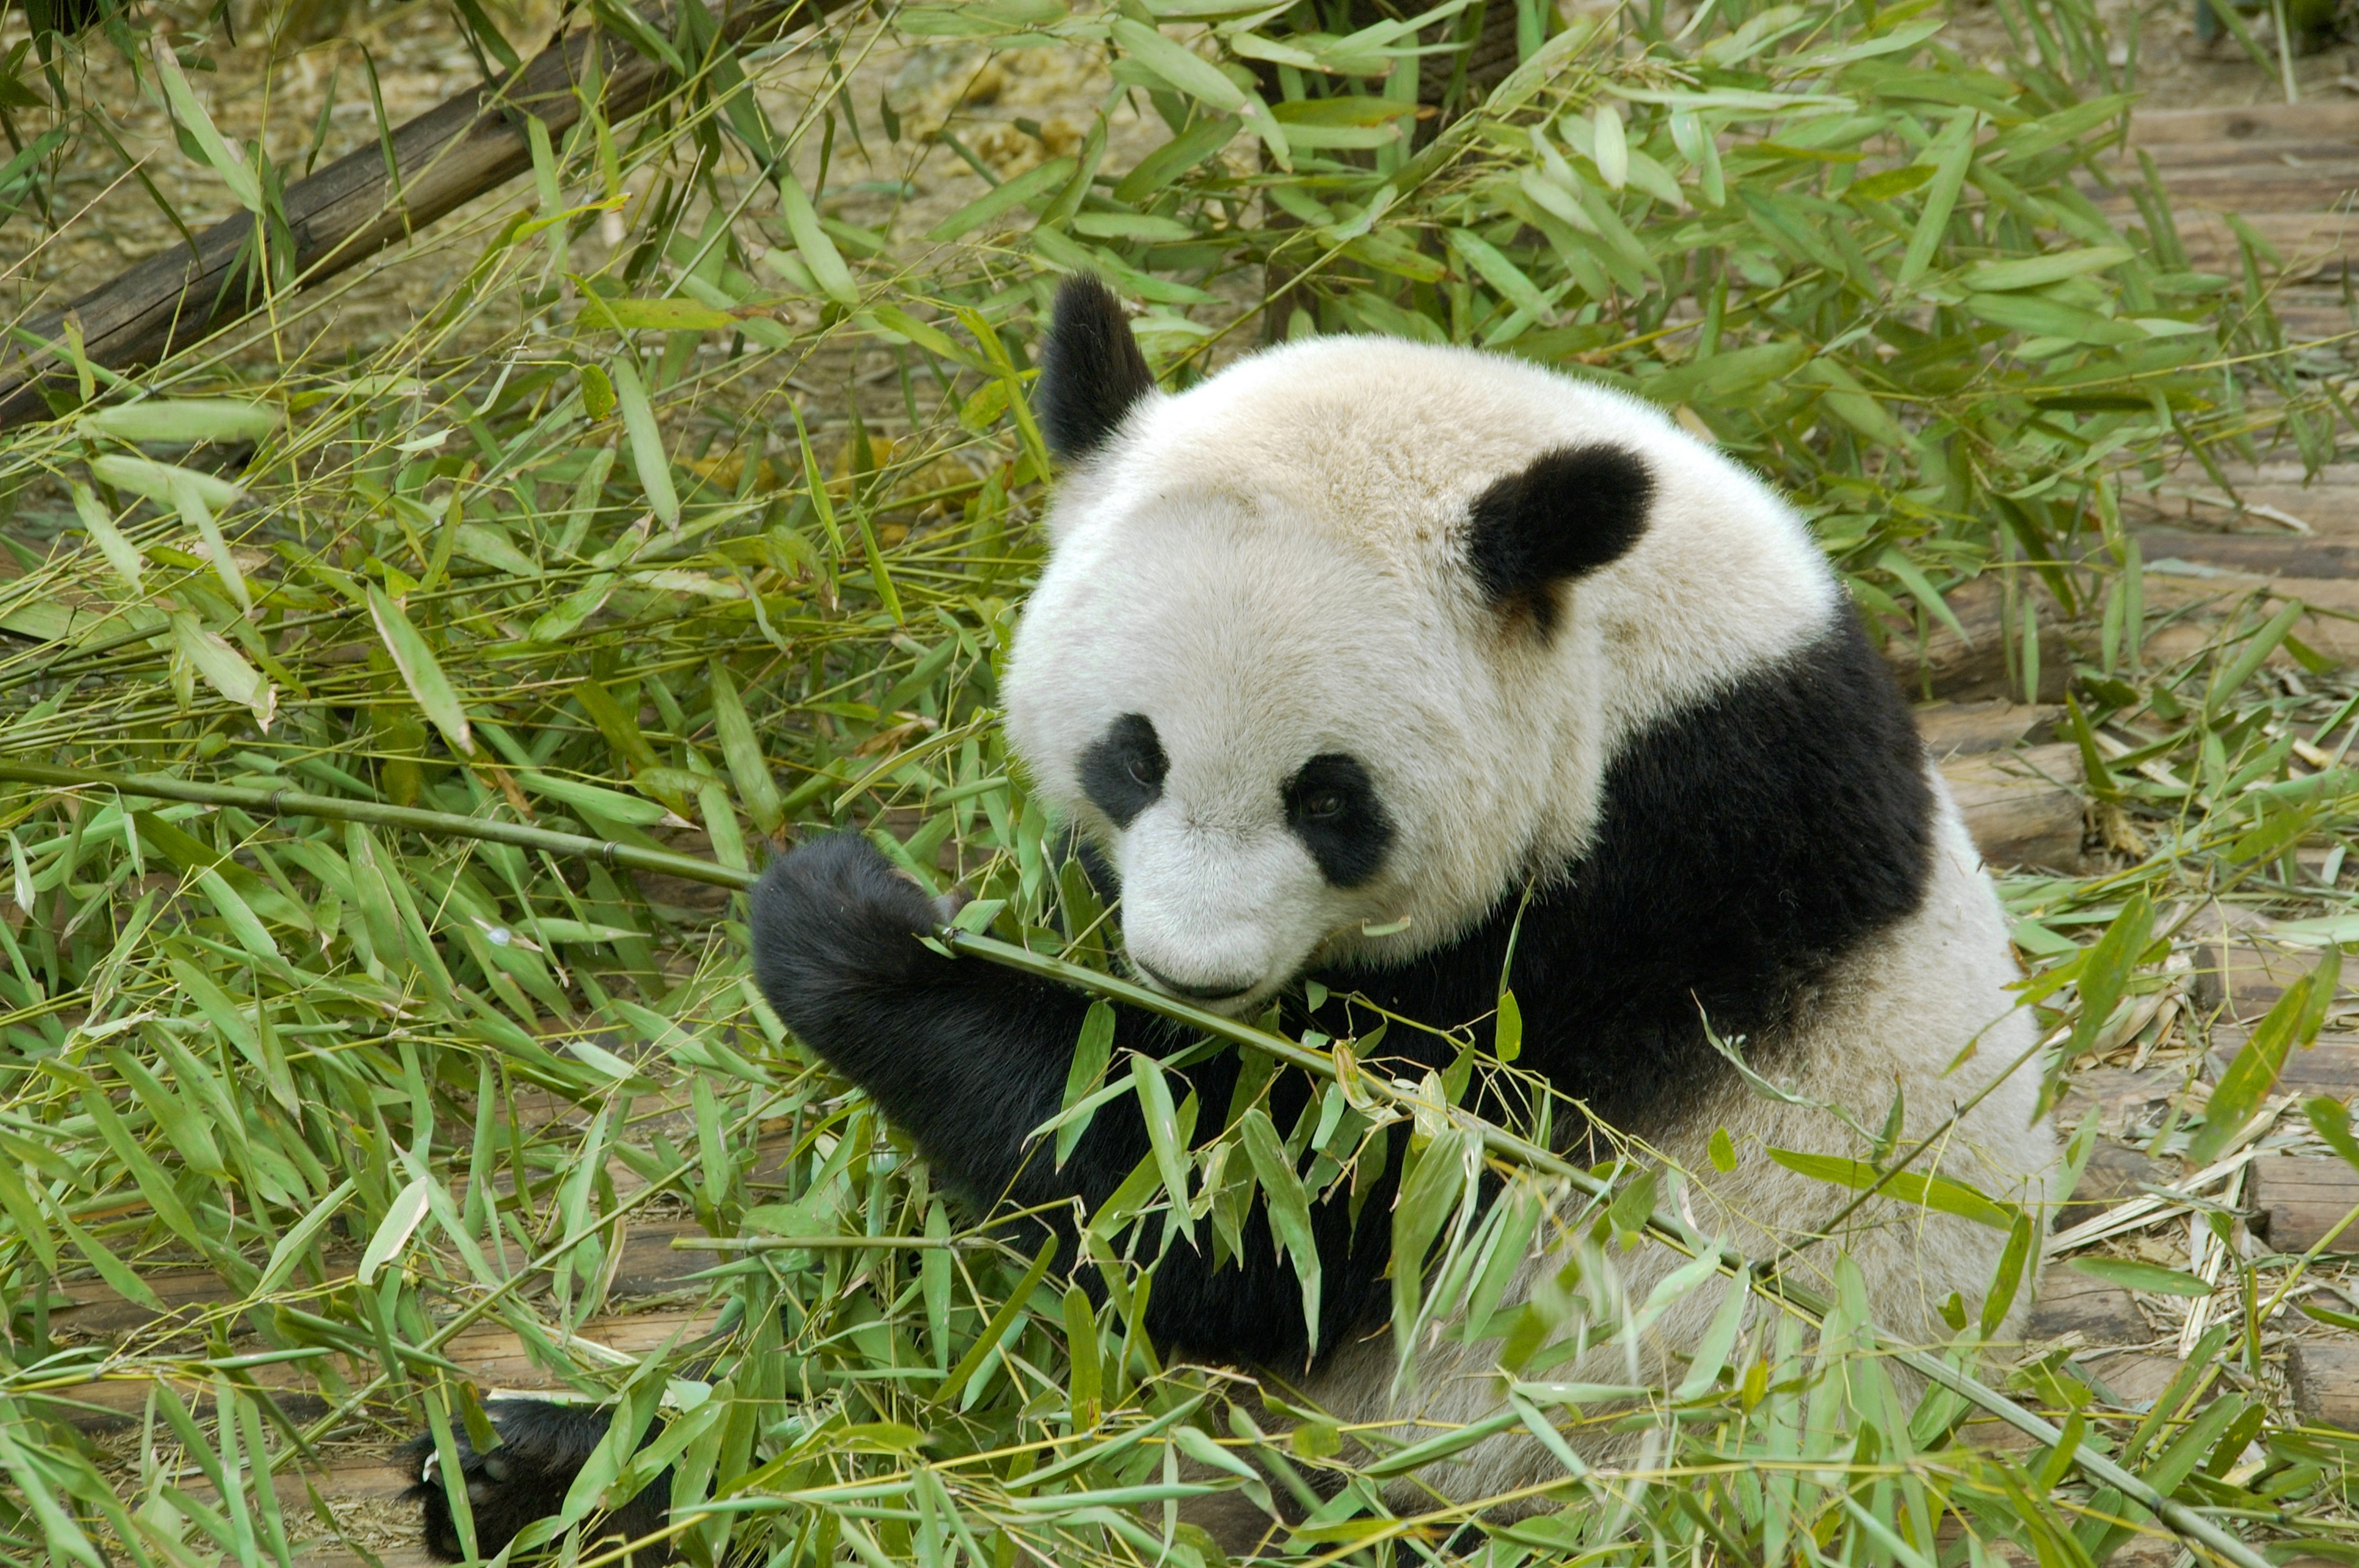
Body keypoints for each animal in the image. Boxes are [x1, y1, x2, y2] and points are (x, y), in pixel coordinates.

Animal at [410, 275, 2057, 1560]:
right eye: (1130, 756)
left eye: (1331, 799)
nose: (1187, 973)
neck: (1641, 661)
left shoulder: (1641, 907)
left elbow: (1260, 1214)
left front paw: (856, 934)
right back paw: (539, 1471)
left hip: (1510, 1455)